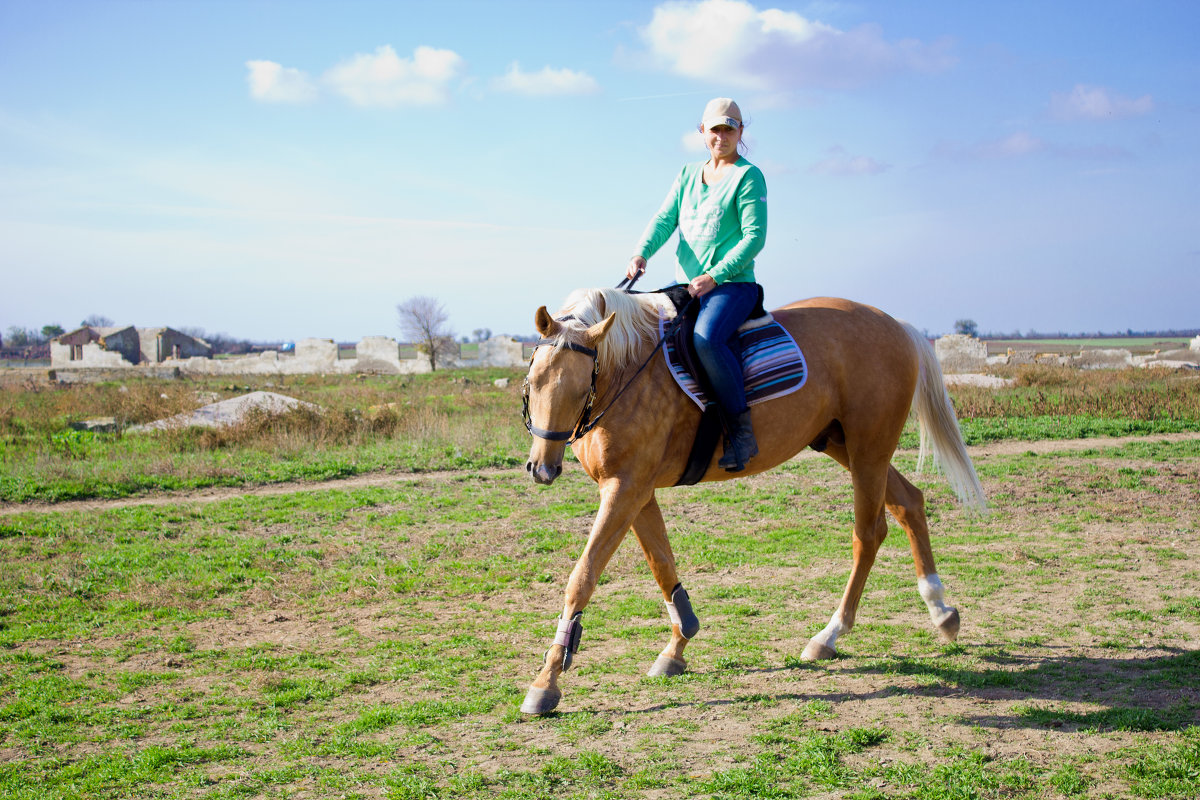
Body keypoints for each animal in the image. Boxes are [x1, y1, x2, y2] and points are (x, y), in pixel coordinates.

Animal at [523, 291, 984, 714]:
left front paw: (546, 683)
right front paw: (677, 647)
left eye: (582, 386)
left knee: (868, 534)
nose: (542, 468)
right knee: (910, 504)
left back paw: (830, 635)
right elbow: (663, 566)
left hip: (869, 449)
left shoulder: (626, 488)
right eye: (532, 383)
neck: (630, 370)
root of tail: (897, 326)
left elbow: (583, 577)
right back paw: (941, 611)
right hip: (847, 445)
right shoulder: (636, 491)